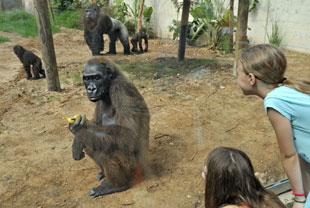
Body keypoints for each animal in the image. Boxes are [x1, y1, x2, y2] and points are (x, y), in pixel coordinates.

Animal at [68, 56, 150, 197]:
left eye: (97, 77)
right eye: (87, 78)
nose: (91, 89)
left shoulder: (120, 88)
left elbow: (128, 134)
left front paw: (79, 133)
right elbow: (95, 125)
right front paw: (77, 126)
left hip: (134, 168)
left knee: (109, 149)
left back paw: (116, 185)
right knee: (95, 141)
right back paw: (103, 173)